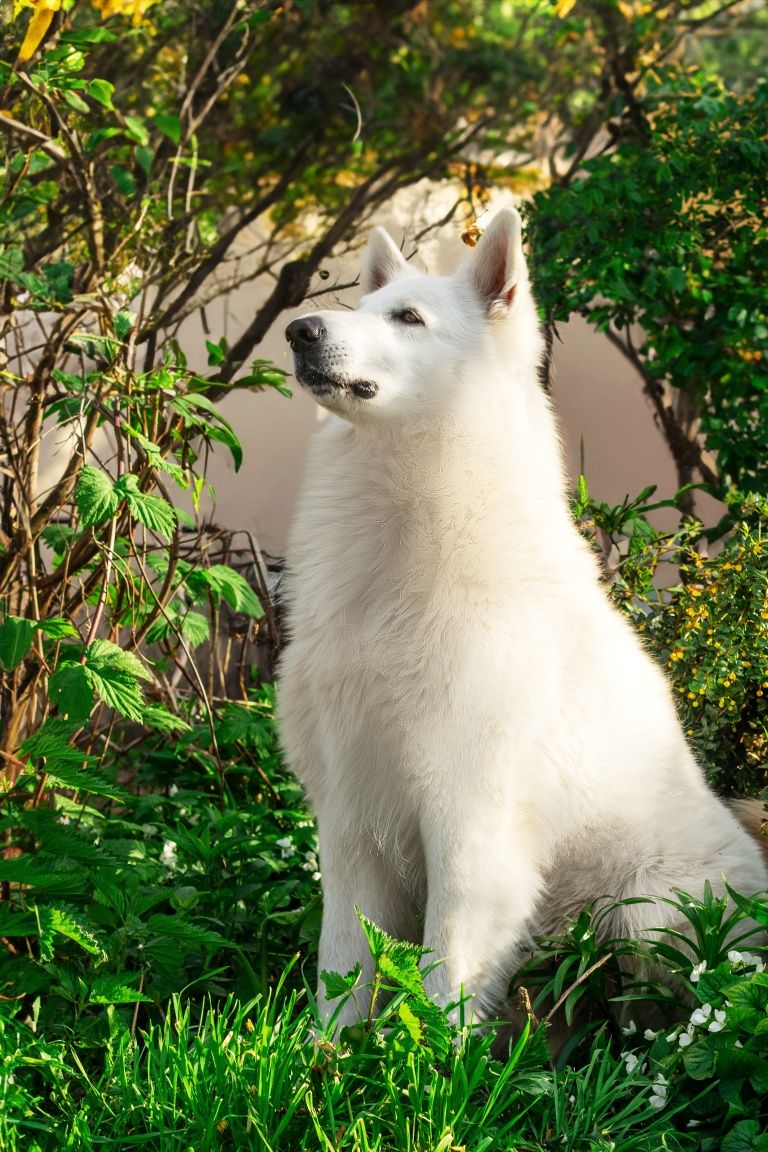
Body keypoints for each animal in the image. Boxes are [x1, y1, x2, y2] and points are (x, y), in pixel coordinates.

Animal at [277, 209, 768, 1027]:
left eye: (408, 318)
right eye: (360, 306)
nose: (298, 330)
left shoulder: (470, 826)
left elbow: (444, 978)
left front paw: (427, 1061)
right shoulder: (350, 820)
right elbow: (341, 972)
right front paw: (327, 1054)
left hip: (647, 916)